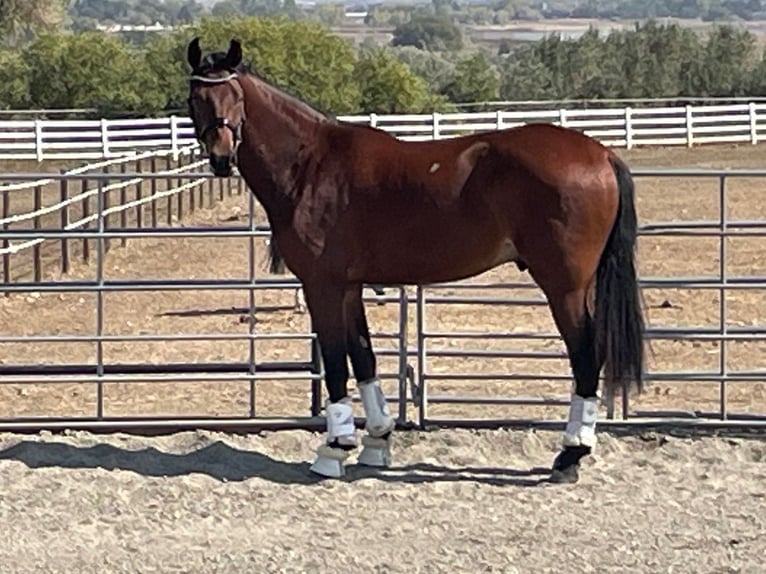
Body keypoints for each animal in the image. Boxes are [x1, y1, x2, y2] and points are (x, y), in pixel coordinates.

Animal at [186, 38, 648, 484]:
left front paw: (334, 449)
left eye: (234, 96)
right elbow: (364, 357)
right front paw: (376, 441)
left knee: (586, 355)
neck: (309, 166)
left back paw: (571, 454)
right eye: (196, 98)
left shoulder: (323, 286)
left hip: (564, 286)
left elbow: (335, 363)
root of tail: (601, 154)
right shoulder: (350, 287)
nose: (222, 158)